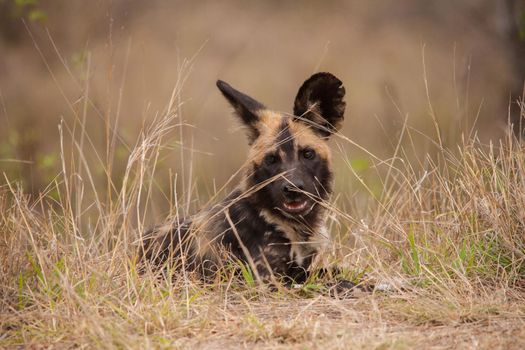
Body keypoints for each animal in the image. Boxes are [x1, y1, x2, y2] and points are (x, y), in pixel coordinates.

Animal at [141, 73, 350, 288]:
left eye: (308, 154)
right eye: (271, 159)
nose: (292, 188)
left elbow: (334, 272)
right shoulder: (267, 282)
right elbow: (337, 282)